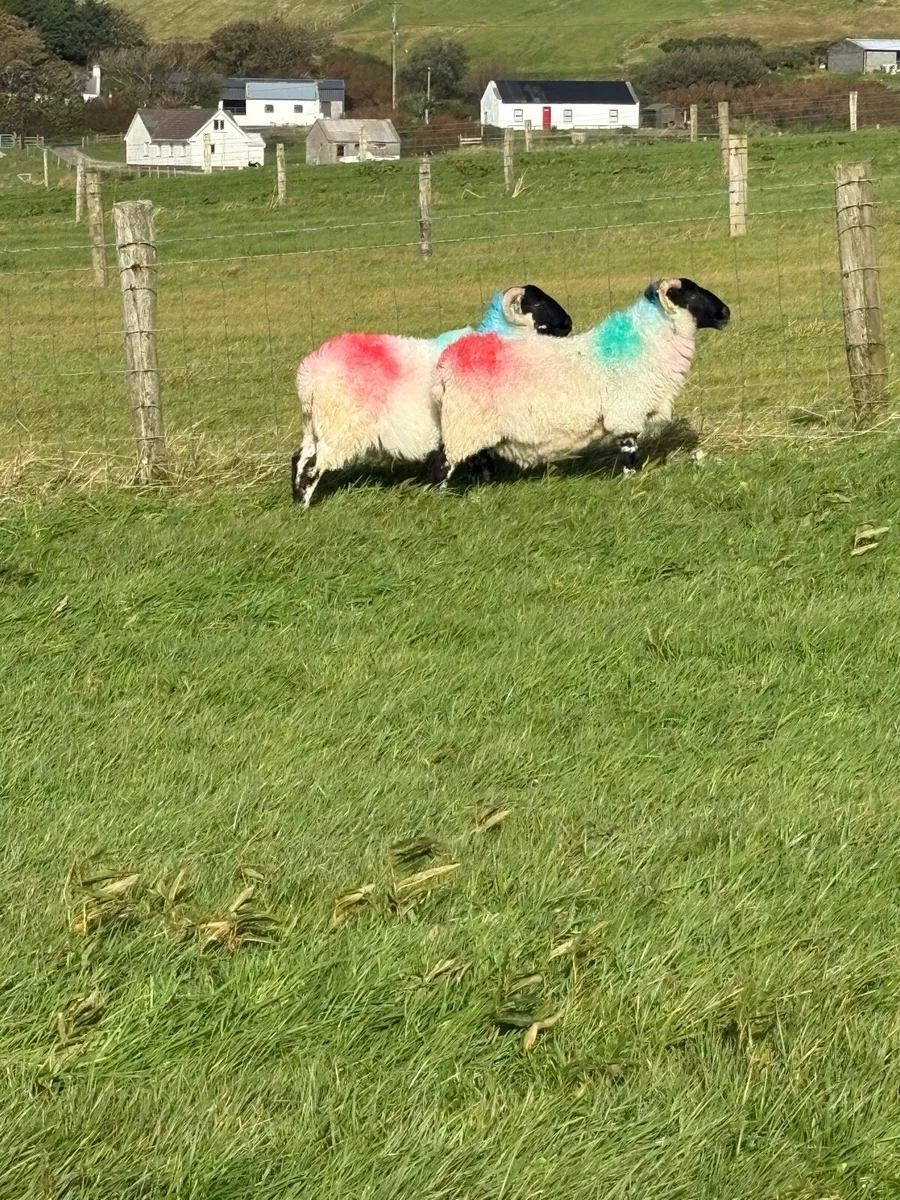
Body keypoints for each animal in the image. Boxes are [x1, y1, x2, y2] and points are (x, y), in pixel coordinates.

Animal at [291, 285, 572, 507]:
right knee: (313, 466)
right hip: (339, 428)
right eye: (537, 302)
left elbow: (477, 461)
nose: (568, 323)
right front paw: (447, 495)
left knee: (299, 459)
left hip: (314, 426)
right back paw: (306, 504)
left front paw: (480, 488)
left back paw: (297, 502)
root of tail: (310, 375)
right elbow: (461, 462)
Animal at [431, 278, 730, 485]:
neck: (646, 342)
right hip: (465, 425)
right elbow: (629, 452)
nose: (726, 313)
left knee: (476, 461)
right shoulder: (626, 414)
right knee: (448, 466)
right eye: (691, 293)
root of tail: (448, 361)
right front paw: (630, 481)